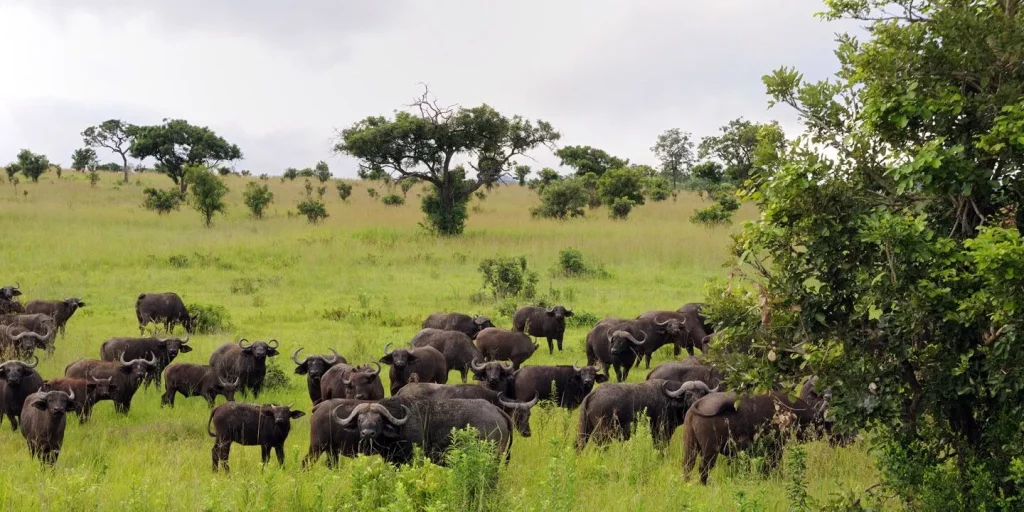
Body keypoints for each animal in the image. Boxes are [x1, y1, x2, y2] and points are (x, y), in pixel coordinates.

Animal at [577, 379, 715, 449]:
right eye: (688, 394)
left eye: (702, 393)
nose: (697, 402)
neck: (670, 399)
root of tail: (593, 394)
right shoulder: (662, 431)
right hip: (603, 433)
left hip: (584, 430)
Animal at [682, 391, 821, 484]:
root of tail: (699, 402)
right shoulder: (776, 449)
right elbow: (772, 466)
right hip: (710, 451)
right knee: (703, 468)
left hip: (690, 446)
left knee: (687, 465)